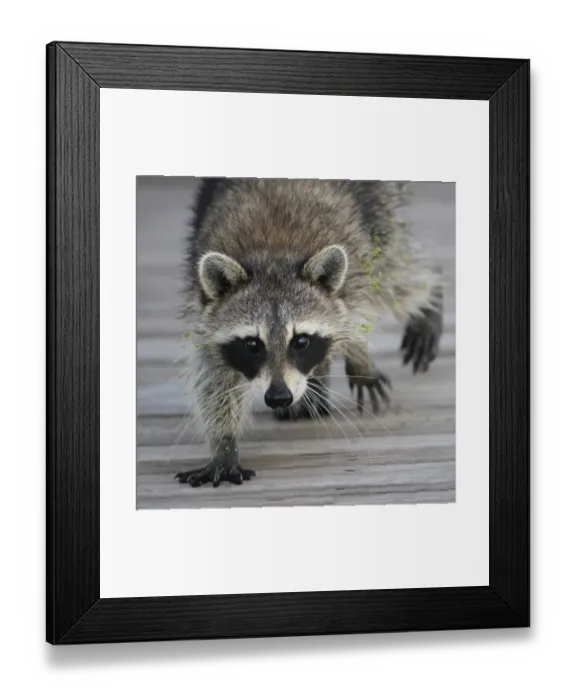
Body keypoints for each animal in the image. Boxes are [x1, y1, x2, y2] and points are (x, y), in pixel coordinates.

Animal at [176, 178, 443, 487]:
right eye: (252, 344)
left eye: (301, 341)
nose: (279, 396)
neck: (272, 258)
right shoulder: (206, 310)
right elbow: (214, 378)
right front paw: (224, 445)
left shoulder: (355, 268)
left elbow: (357, 313)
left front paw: (360, 358)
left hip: (376, 206)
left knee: (397, 274)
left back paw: (431, 294)